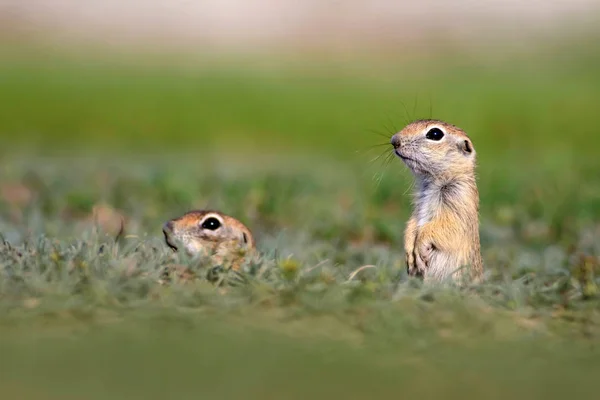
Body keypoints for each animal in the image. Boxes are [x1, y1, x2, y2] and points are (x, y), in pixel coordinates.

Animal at [392, 119, 486, 284]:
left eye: (435, 134)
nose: (394, 140)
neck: (433, 181)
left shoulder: (459, 199)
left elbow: (447, 226)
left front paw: (420, 247)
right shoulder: (419, 206)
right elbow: (412, 224)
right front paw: (409, 253)